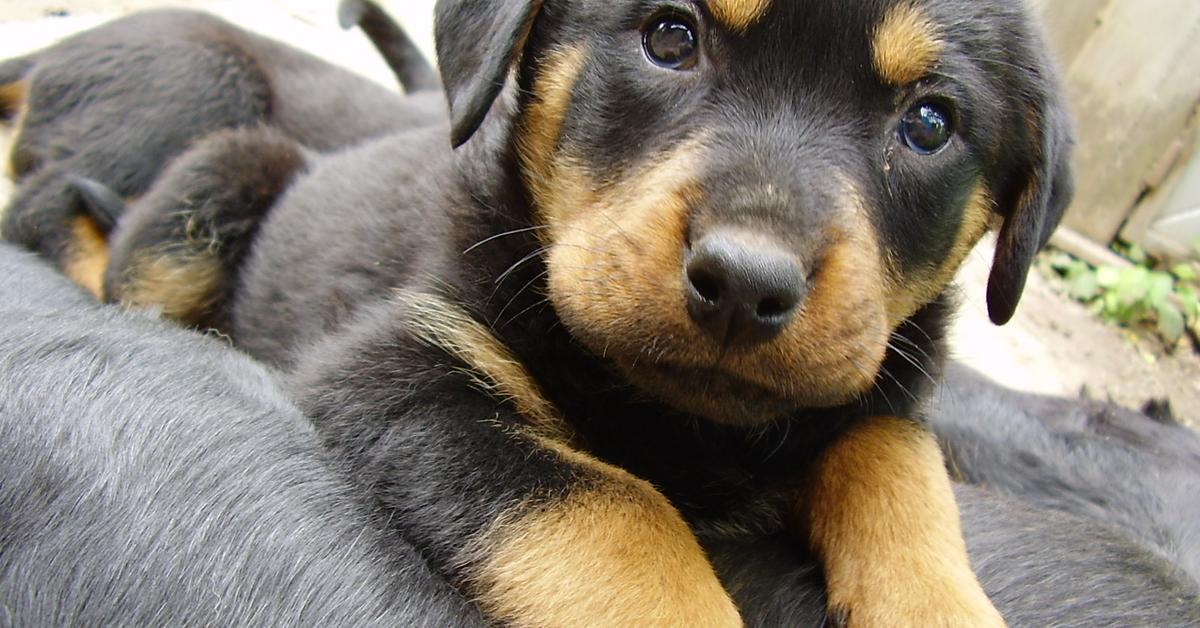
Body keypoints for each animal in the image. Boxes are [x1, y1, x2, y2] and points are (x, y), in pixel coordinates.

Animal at [91, 0, 1070, 624]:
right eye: (671, 37)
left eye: (931, 124)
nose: (744, 284)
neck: (689, 427)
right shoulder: (398, 370)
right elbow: (622, 513)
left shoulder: (879, 384)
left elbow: (901, 470)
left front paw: (943, 603)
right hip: (222, 175)